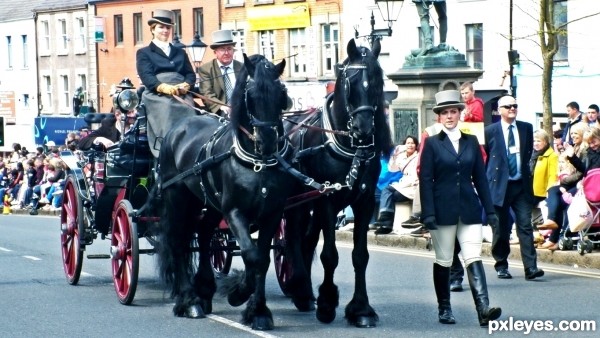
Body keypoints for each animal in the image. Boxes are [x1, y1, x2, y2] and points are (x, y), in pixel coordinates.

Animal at [156, 53, 294, 330]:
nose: (267, 142)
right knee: (177, 241)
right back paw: (189, 301)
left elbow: (262, 259)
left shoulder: (272, 213)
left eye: (281, 92)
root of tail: (179, 126)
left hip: (207, 203)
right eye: (250, 94)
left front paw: (258, 311)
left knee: (204, 235)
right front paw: (238, 292)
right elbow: (252, 255)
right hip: (177, 197)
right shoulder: (234, 212)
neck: (257, 162)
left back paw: (204, 289)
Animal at [284, 39, 392, 328]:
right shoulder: (327, 200)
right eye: (350, 83)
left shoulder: (364, 201)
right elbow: (329, 255)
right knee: (293, 238)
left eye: (377, 82)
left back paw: (303, 293)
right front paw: (327, 303)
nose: (364, 130)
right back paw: (300, 286)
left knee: (307, 238)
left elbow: (360, 256)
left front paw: (361, 309)